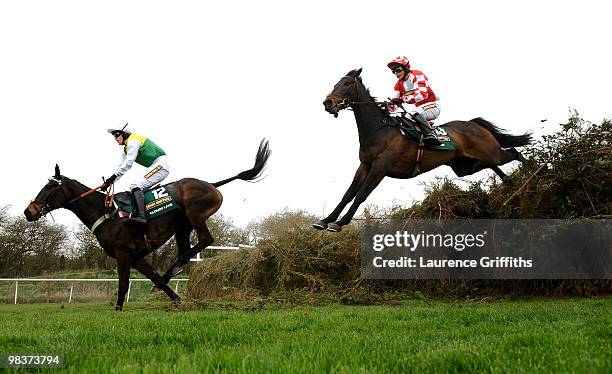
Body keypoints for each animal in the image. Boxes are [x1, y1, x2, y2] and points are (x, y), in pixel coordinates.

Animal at [25, 140, 270, 310]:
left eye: (49, 187)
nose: (29, 212)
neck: (107, 213)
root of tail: (211, 184)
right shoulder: (136, 256)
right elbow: (153, 276)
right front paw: (176, 299)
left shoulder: (123, 253)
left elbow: (124, 284)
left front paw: (118, 308)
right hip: (183, 227)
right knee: (187, 249)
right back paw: (175, 269)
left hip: (195, 213)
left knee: (205, 240)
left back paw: (176, 266)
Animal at [316, 67, 532, 231]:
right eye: (336, 83)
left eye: (346, 84)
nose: (328, 103)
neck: (379, 130)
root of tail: (473, 124)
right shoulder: (365, 165)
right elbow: (348, 194)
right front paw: (326, 220)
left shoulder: (381, 167)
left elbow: (361, 195)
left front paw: (340, 223)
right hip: (465, 166)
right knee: (494, 165)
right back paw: (511, 184)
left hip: (490, 153)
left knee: (514, 153)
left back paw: (534, 173)